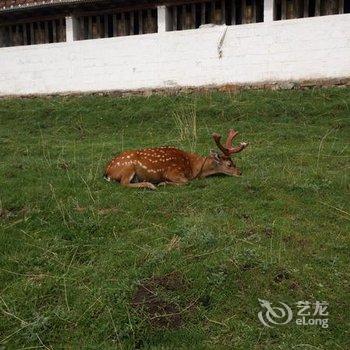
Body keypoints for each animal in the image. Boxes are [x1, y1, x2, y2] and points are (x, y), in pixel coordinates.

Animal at [104, 129, 249, 190]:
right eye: (229, 164)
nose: (240, 172)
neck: (194, 168)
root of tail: (107, 172)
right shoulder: (173, 172)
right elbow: (186, 182)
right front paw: (162, 183)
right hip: (128, 166)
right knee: (124, 183)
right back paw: (151, 185)